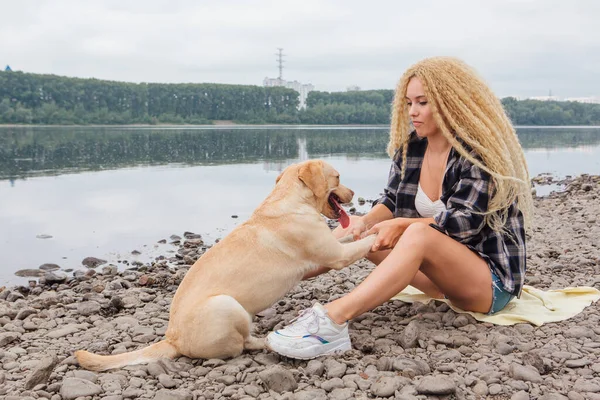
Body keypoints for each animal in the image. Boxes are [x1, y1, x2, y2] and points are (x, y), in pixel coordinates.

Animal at [75, 159, 376, 372]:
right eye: (338, 177)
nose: (353, 192)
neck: (290, 200)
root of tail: (172, 340)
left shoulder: (335, 246)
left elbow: (352, 236)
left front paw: (367, 228)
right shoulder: (336, 255)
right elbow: (362, 243)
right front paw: (378, 234)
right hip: (228, 305)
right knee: (242, 345)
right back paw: (266, 341)